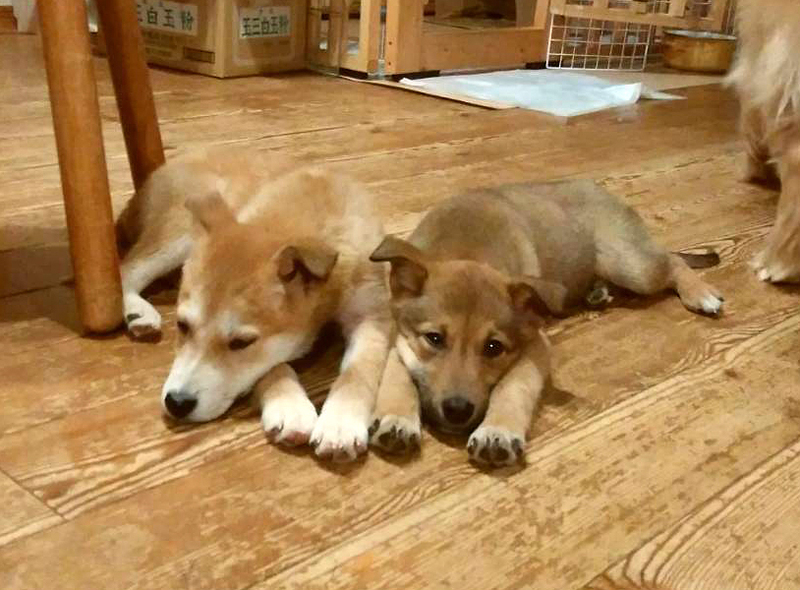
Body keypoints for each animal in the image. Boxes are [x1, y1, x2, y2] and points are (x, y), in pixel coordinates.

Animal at [117, 147, 392, 461]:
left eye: (241, 343)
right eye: (182, 325)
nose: (176, 402)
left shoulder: (371, 314)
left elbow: (360, 371)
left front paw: (341, 422)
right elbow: (273, 366)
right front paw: (289, 406)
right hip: (177, 234)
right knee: (126, 269)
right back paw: (137, 311)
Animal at [368, 180, 723, 467]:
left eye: (494, 347)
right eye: (434, 339)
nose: (457, 410)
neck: (467, 247)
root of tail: (599, 188)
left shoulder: (536, 344)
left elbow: (514, 386)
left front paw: (497, 431)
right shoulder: (395, 332)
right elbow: (397, 374)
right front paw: (397, 418)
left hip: (630, 265)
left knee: (673, 261)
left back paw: (700, 293)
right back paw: (598, 292)